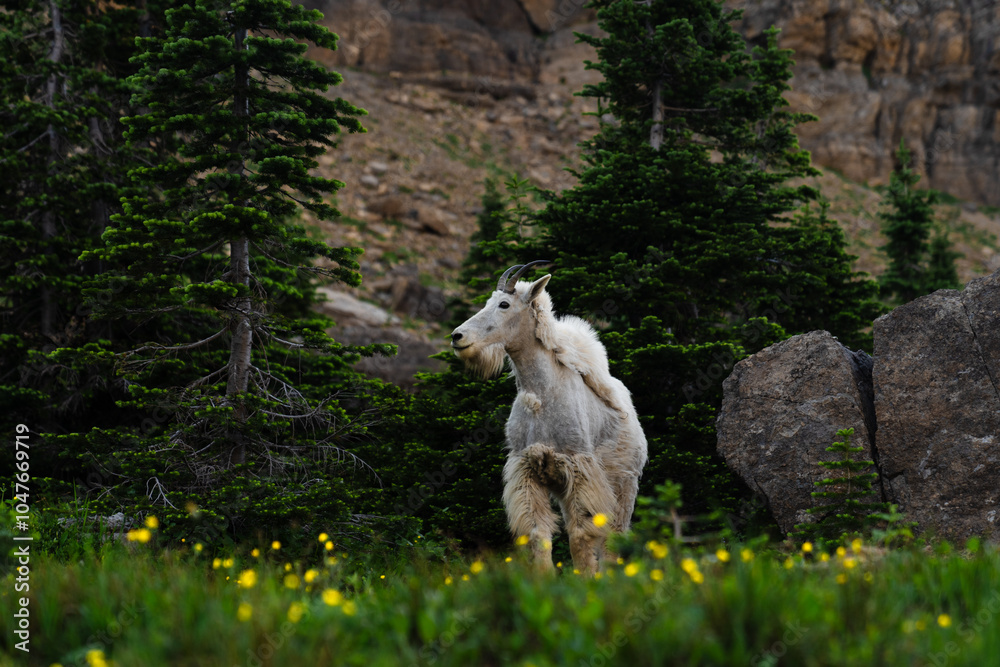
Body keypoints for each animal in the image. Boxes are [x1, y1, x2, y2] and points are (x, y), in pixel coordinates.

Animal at [454, 260, 648, 576]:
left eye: (504, 304)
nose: (457, 337)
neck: (541, 396)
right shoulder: (528, 470)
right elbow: (538, 533)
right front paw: (543, 579)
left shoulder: (579, 467)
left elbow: (581, 535)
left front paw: (586, 578)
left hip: (625, 483)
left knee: (615, 534)